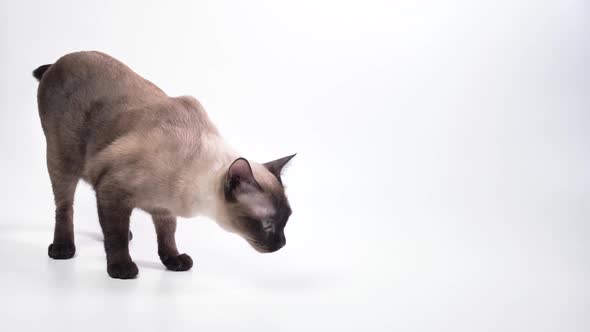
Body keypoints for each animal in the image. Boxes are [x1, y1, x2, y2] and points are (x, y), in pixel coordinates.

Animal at [32, 51, 296, 280]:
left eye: (287, 221)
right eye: (268, 224)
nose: (282, 244)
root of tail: (60, 60)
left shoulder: (163, 209)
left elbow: (167, 236)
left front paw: (173, 261)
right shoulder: (112, 191)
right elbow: (116, 237)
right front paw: (122, 269)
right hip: (62, 161)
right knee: (65, 206)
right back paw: (63, 248)